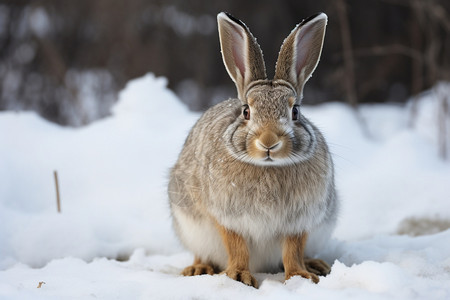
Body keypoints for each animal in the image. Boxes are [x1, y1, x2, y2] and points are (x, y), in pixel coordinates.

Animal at [169, 11, 338, 288]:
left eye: (295, 111)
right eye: (246, 111)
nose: (268, 141)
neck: (267, 167)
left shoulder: (298, 221)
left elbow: (293, 250)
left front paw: (300, 277)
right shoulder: (228, 218)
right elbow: (237, 247)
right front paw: (238, 276)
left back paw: (316, 264)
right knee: (201, 252)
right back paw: (198, 268)